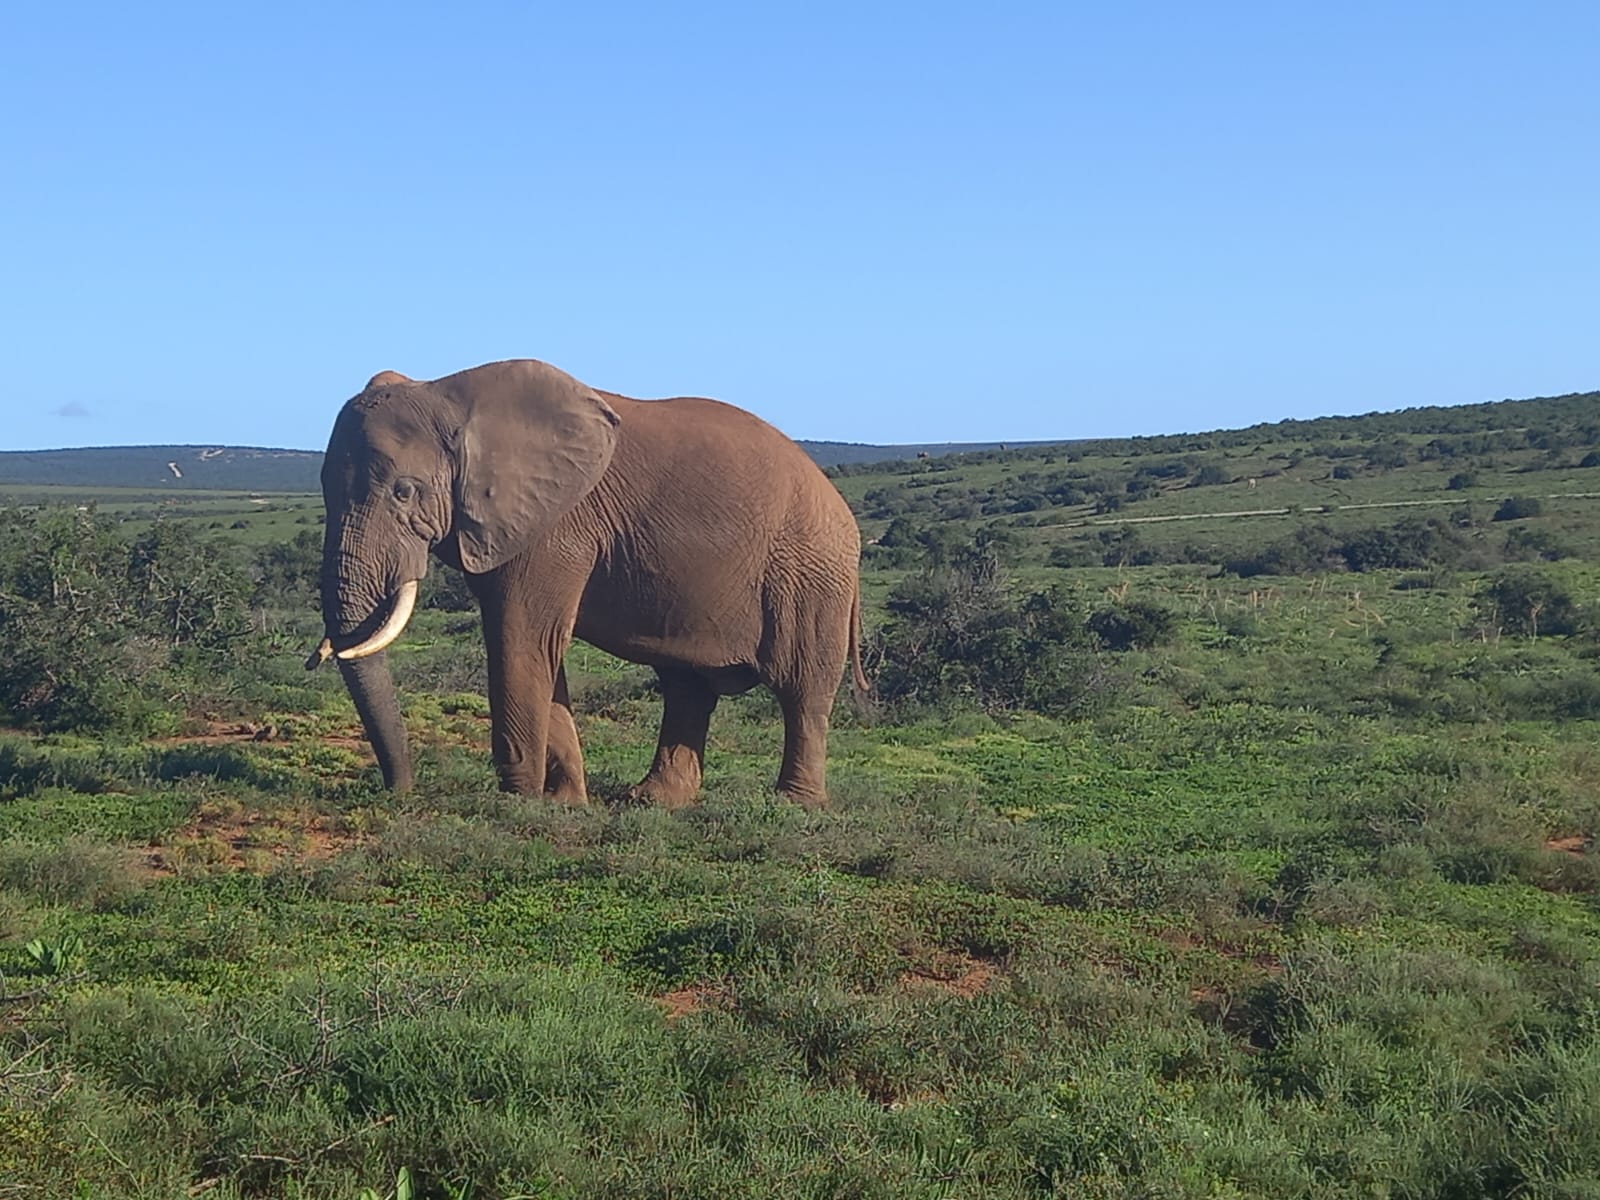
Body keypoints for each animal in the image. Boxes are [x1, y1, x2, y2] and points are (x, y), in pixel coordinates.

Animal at [307, 358, 868, 807]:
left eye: (404, 491)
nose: (400, 793)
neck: (448, 394)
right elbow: (539, 648)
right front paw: (564, 803)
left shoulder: (555, 528)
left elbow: (521, 640)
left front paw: (519, 801)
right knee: (686, 687)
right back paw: (653, 800)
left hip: (811, 575)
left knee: (803, 690)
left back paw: (795, 804)